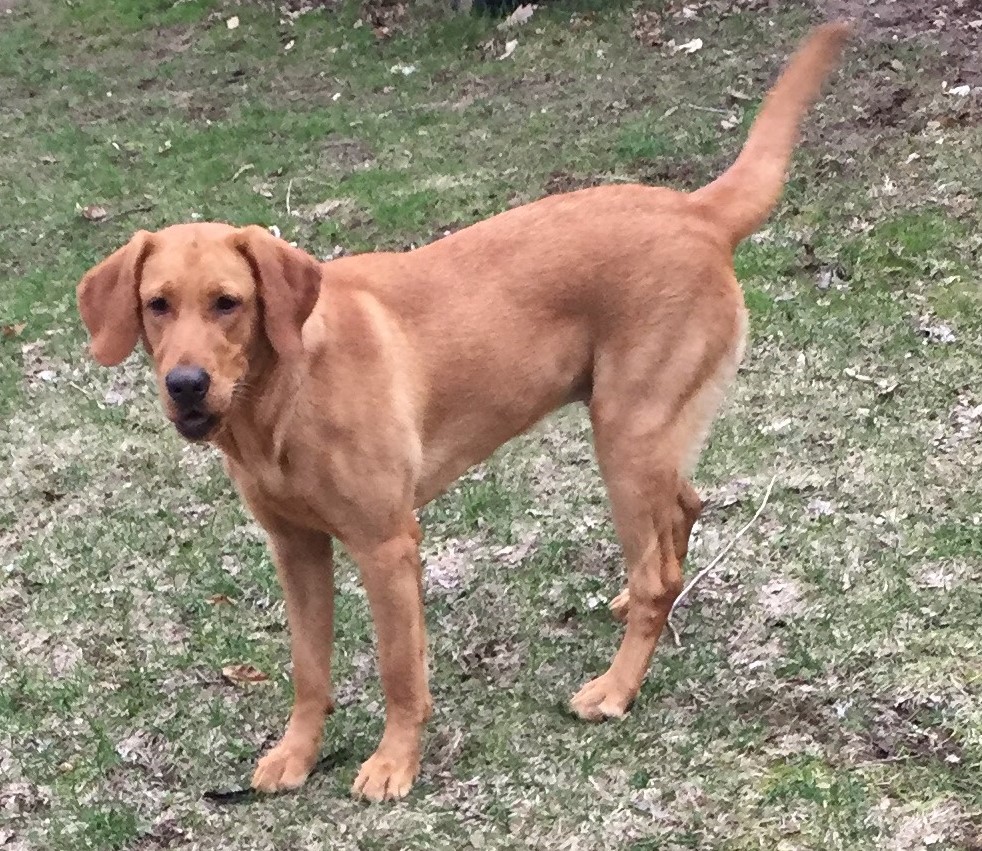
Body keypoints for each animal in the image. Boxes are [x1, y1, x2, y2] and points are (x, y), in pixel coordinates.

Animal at [77, 23, 848, 804]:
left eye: (228, 303)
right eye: (157, 304)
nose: (186, 383)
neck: (279, 398)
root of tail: (696, 211)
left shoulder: (387, 545)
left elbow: (398, 669)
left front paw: (394, 762)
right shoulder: (295, 548)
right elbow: (307, 667)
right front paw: (296, 753)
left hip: (625, 435)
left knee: (656, 567)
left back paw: (616, 687)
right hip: (652, 433)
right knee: (682, 512)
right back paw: (634, 605)